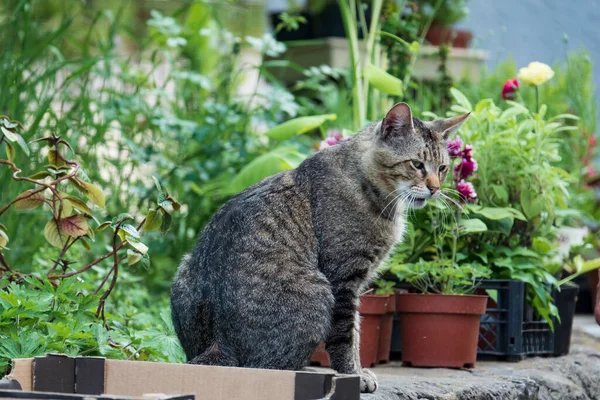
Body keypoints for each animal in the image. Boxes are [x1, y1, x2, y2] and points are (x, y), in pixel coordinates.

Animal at [169, 101, 468, 392]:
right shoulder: (344, 279)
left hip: (184, 267)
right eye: (417, 164)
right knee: (270, 368)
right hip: (318, 292)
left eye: (442, 168)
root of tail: (219, 342)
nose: (435, 189)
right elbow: (347, 337)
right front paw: (354, 375)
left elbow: (357, 333)